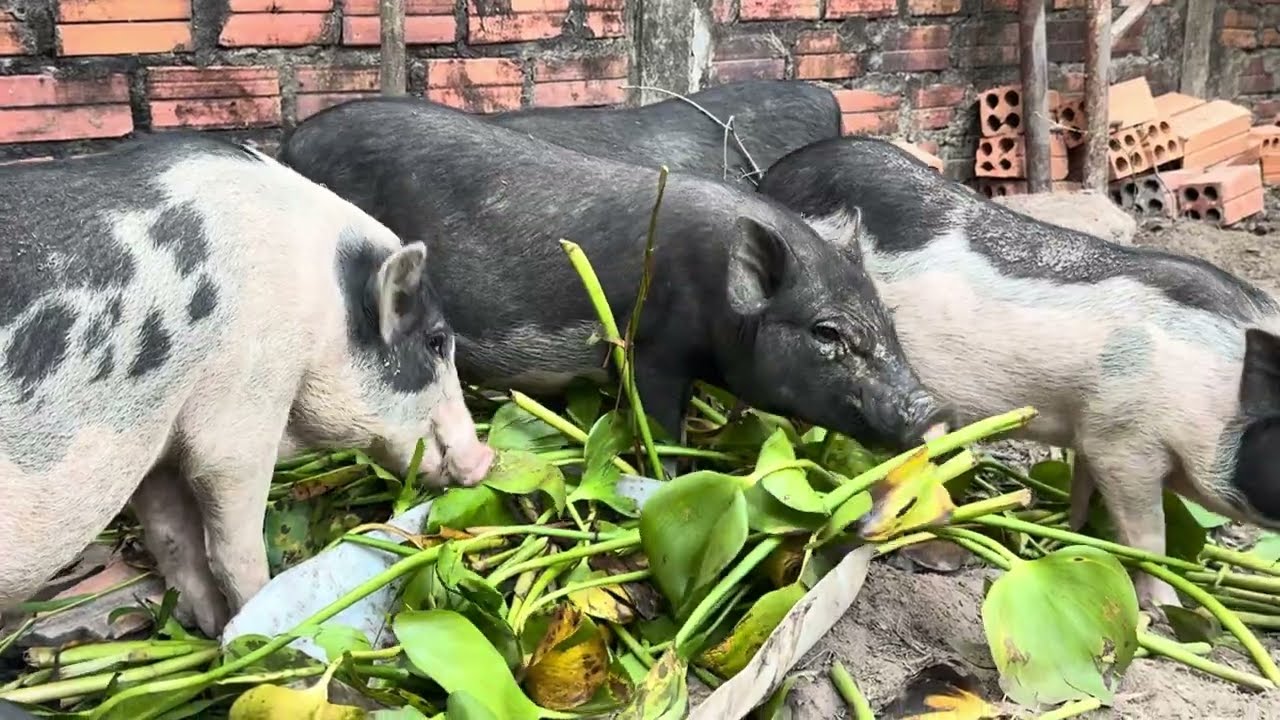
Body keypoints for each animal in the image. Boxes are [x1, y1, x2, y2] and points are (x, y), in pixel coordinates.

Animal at [0, 133, 494, 638]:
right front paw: (250, 631)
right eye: (436, 341)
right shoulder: (244, 404)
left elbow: (173, 538)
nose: (486, 459)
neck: (324, 310)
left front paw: (210, 626)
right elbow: (234, 546)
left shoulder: (159, 441)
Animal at [277, 97, 951, 460]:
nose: (932, 409)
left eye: (888, 321)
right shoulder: (651, 350)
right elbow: (662, 426)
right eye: (827, 333)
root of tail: (292, 141)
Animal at [757, 136, 1280, 610]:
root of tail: (775, 178)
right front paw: (1169, 611)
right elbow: (1149, 537)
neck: (1214, 395)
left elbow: (1083, 488)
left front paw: (1070, 532)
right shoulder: (1125, 443)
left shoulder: (1093, 430)